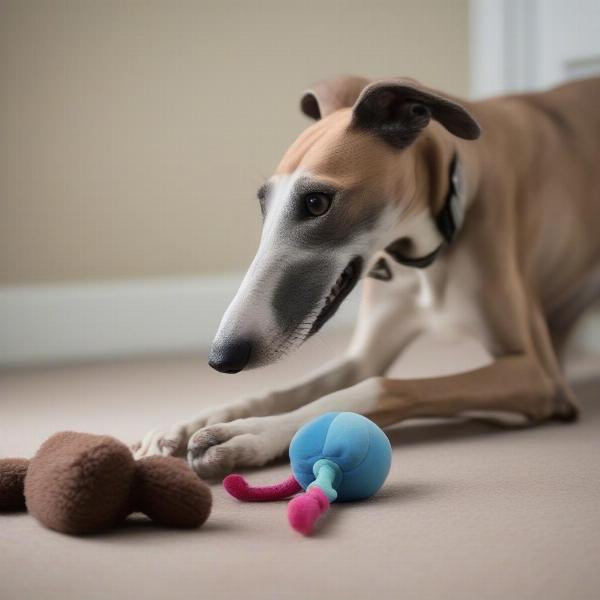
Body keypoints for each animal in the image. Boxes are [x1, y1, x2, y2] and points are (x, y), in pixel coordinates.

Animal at [135, 76, 600, 478]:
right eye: (264, 204)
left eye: (317, 202)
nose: (221, 357)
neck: (423, 255)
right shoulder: (364, 354)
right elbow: (286, 389)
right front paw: (195, 422)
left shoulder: (536, 376)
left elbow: (378, 386)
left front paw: (251, 434)